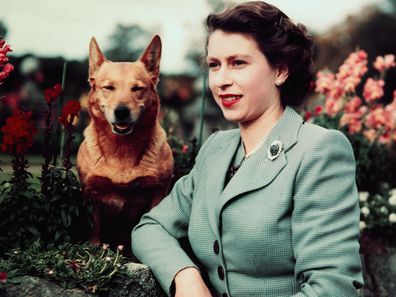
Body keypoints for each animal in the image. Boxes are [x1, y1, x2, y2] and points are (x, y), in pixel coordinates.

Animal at [78, 34, 174, 245]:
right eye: (108, 87)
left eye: (137, 88)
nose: (121, 112)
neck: (122, 149)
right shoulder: (91, 194)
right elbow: (94, 229)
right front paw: (93, 248)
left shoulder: (158, 193)